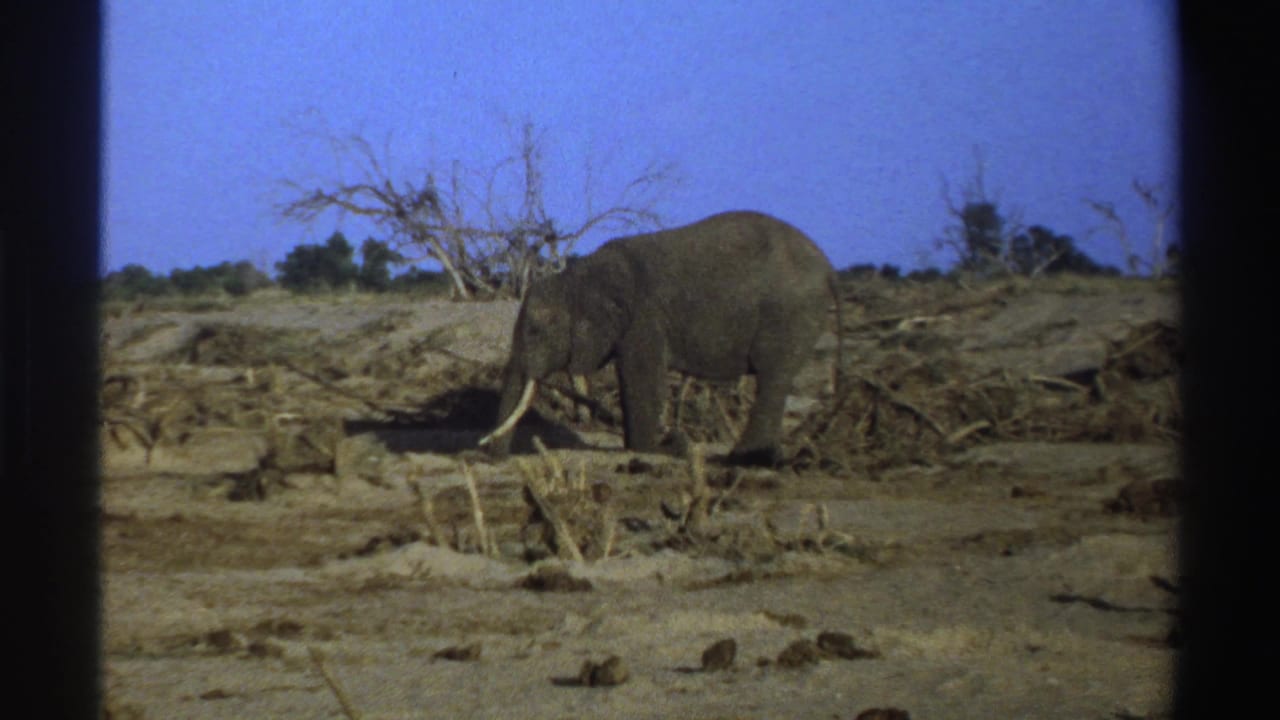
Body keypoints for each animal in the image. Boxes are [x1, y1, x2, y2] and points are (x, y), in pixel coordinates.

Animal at [479, 210, 841, 466]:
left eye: (535, 331)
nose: (492, 457)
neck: (580, 275)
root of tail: (828, 268)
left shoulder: (644, 319)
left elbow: (642, 378)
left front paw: (656, 448)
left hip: (789, 313)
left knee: (772, 376)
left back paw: (744, 459)